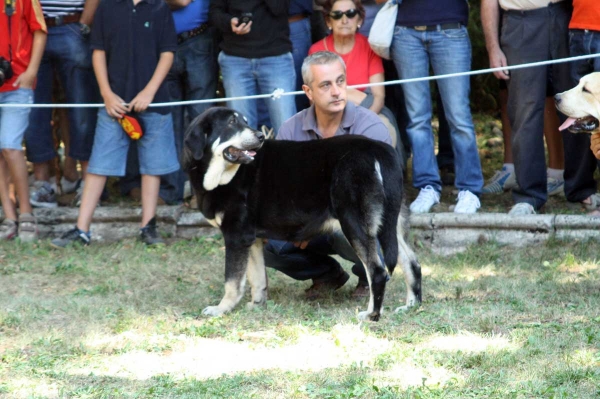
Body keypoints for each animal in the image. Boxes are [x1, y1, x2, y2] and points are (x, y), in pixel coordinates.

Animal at [183, 106, 422, 322]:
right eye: (232, 122)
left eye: (242, 121)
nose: (260, 136)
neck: (224, 173)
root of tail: (380, 150)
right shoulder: (252, 239)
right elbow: (256, 278)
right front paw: (257, 305)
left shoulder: (236, 236)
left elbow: (232, 281)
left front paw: (221, 309)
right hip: (390, 225)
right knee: (412, 263)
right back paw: (412, 305)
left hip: (354, 224)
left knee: (377, 271)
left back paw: (372, 314)